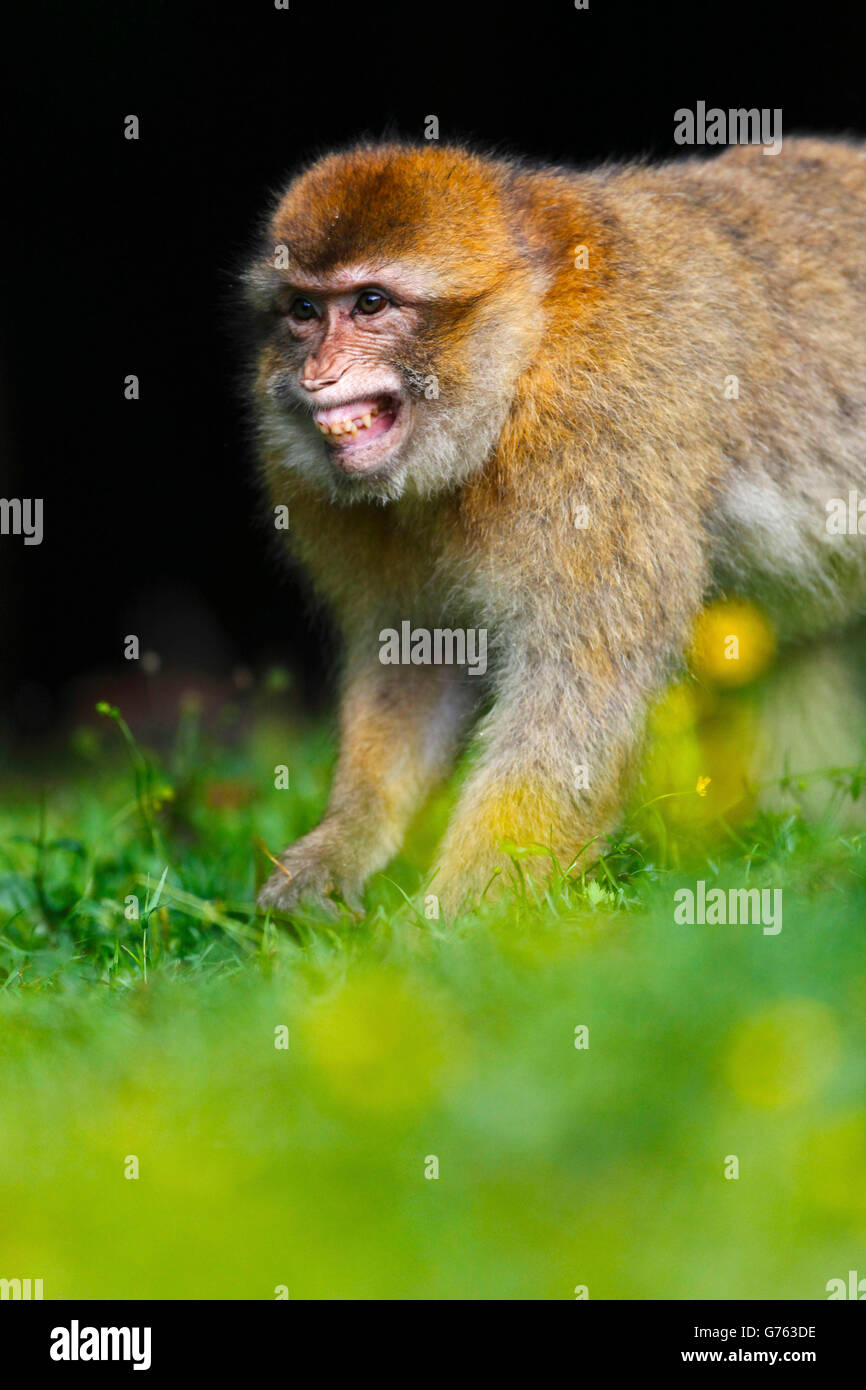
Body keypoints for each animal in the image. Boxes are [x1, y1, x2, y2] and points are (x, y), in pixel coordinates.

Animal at [240, 135, 866, 917]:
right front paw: (338, 848)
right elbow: (416, 653)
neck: (523, 351)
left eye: (370, 303)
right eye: (303, 310)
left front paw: (448, 926)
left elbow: (576, 702)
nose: (317, 375)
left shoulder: (592, 450)